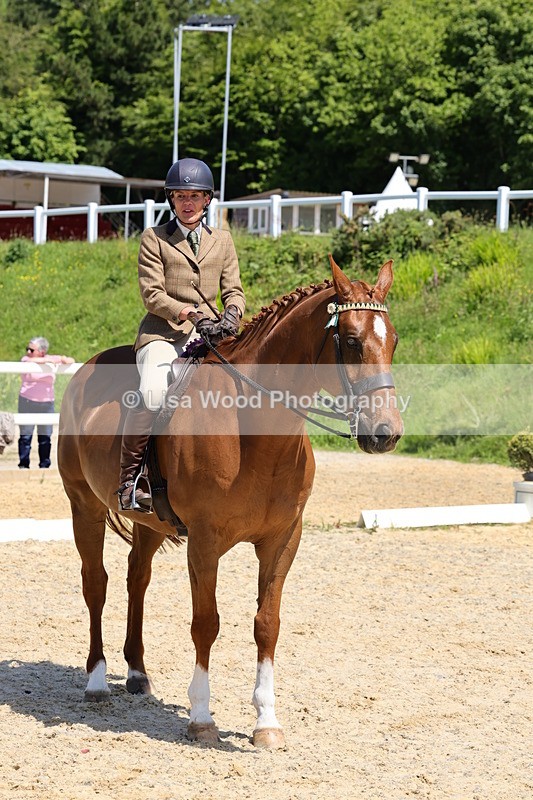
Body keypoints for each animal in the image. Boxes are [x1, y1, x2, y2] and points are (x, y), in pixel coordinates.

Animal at [57, 255, 403, 749]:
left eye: (393, 340)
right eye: (352, 342)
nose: (385, 433)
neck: (252, 429)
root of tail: (85, 369)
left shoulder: (283, 540)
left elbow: (267, 623)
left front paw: (267, 723)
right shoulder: (205, 541)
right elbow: (206, 622)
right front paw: (202, 718)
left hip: (148, 522)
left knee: (136, 579)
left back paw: (138, 674)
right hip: (82, 505)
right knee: (96, 584)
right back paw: (97, 681)